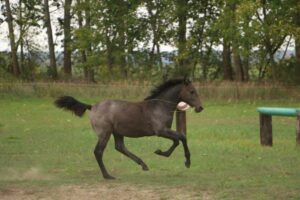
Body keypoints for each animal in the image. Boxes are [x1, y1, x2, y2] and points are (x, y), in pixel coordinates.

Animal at [54, 77, 203, 179]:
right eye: (192, 91)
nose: (200, 108)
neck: (159, 106)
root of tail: (92, 106)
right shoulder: (160, 131)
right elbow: (181, 137)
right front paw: (186, 161)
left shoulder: (164, 131)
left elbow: (177, 140)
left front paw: (161, 152)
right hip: (105, 133)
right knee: (98, 151)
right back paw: (108, 175)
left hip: (117, 132)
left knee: (120, 147)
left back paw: (143, 165)